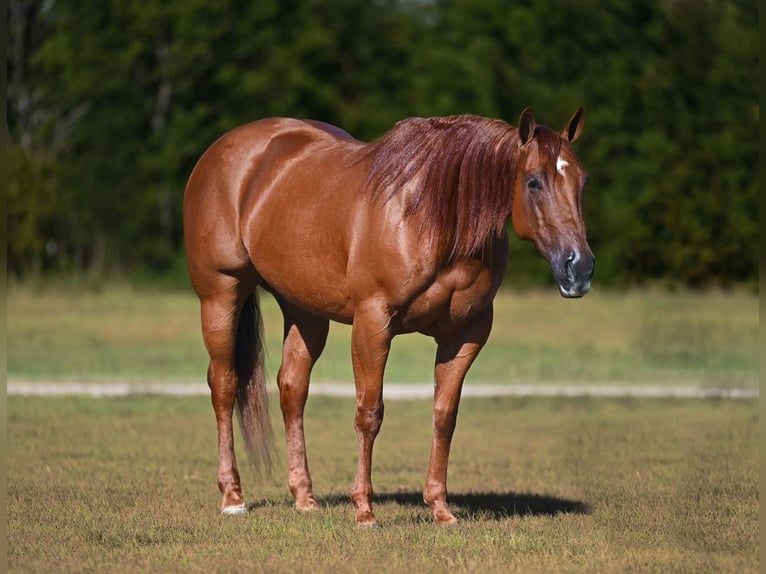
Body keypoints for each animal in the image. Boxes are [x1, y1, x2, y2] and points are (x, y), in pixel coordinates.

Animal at [183, 107, 594, 526]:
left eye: (582, 180)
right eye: (534, 182)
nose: (579, 268)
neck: (434, 216)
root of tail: (222, 151)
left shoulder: (467, 333)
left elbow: (445, 415)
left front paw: (440, 508)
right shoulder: (373, 323)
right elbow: (370, 413)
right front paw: (364, 509)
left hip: (304, 310)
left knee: (292, 388)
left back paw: (304, 497)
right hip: (220, 295)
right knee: (224, 384)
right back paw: (233, 496)